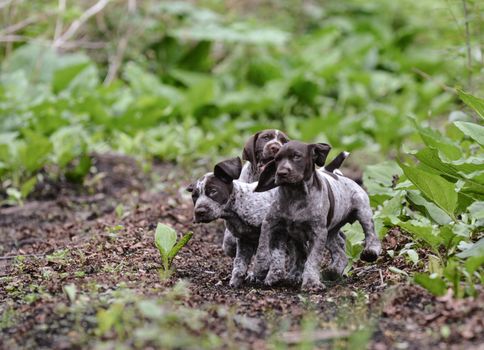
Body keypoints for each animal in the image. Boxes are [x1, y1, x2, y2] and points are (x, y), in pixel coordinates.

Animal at [253, 141, 382, 292]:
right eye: (277, 159)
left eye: (297, 156)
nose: (281, 173)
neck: (295, 194)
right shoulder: (272, 225)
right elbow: (268, 250)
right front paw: (268, 272)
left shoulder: (317, 232)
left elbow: (312, 260)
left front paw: (311, 283)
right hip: (329, 233)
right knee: (340, 254)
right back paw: (333, 271)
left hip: (362, 211)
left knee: (371, 234)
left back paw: (371, 252)